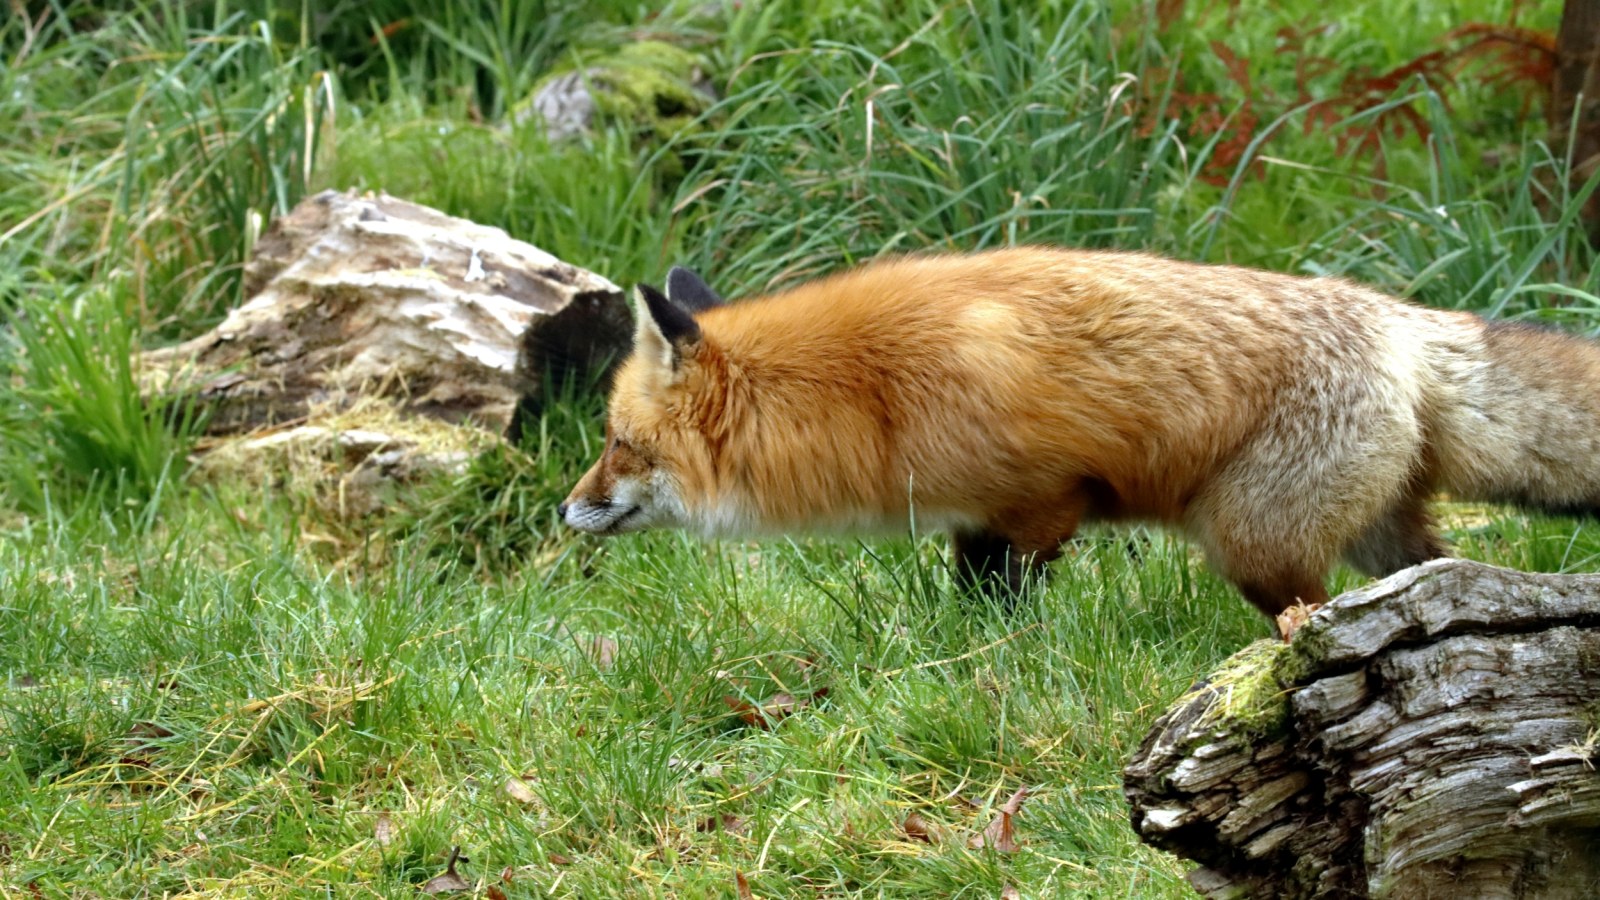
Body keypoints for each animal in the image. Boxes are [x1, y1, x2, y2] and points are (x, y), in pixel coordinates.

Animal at [560, 248, 1600, 630]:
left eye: (618, 444)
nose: (567, 510)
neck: (870, 397)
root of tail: (1399, 319)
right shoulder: (972, 517)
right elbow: (969, 596)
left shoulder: (1042, 500)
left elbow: (1005, 602)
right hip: (1377, 536)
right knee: (1444, 573)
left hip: (1254, 542)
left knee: (1308, 607)